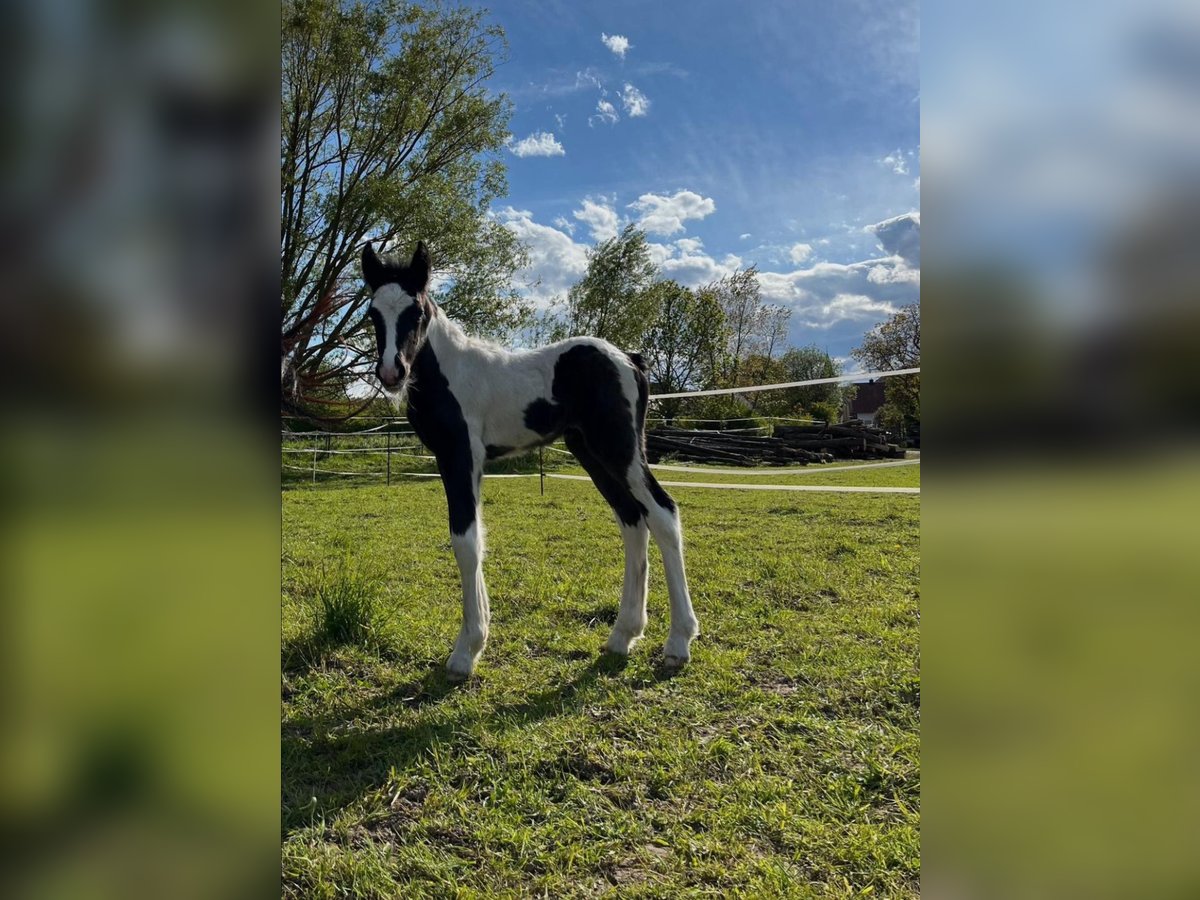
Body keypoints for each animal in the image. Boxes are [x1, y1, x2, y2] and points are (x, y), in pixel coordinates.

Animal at [364, 243, 700, 681]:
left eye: (416, 311)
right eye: (373, 313)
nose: (391, 372)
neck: (450, 372)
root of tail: (629, 359)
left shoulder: (460, 456)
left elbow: (464, 541)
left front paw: (464, 653)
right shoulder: (464, 463)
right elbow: (475, 540)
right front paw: (477, 637)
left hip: (621, 450)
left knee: (662, 513)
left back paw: (678, 642)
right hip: (591, 453)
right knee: (632, 520)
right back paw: (623, 635)